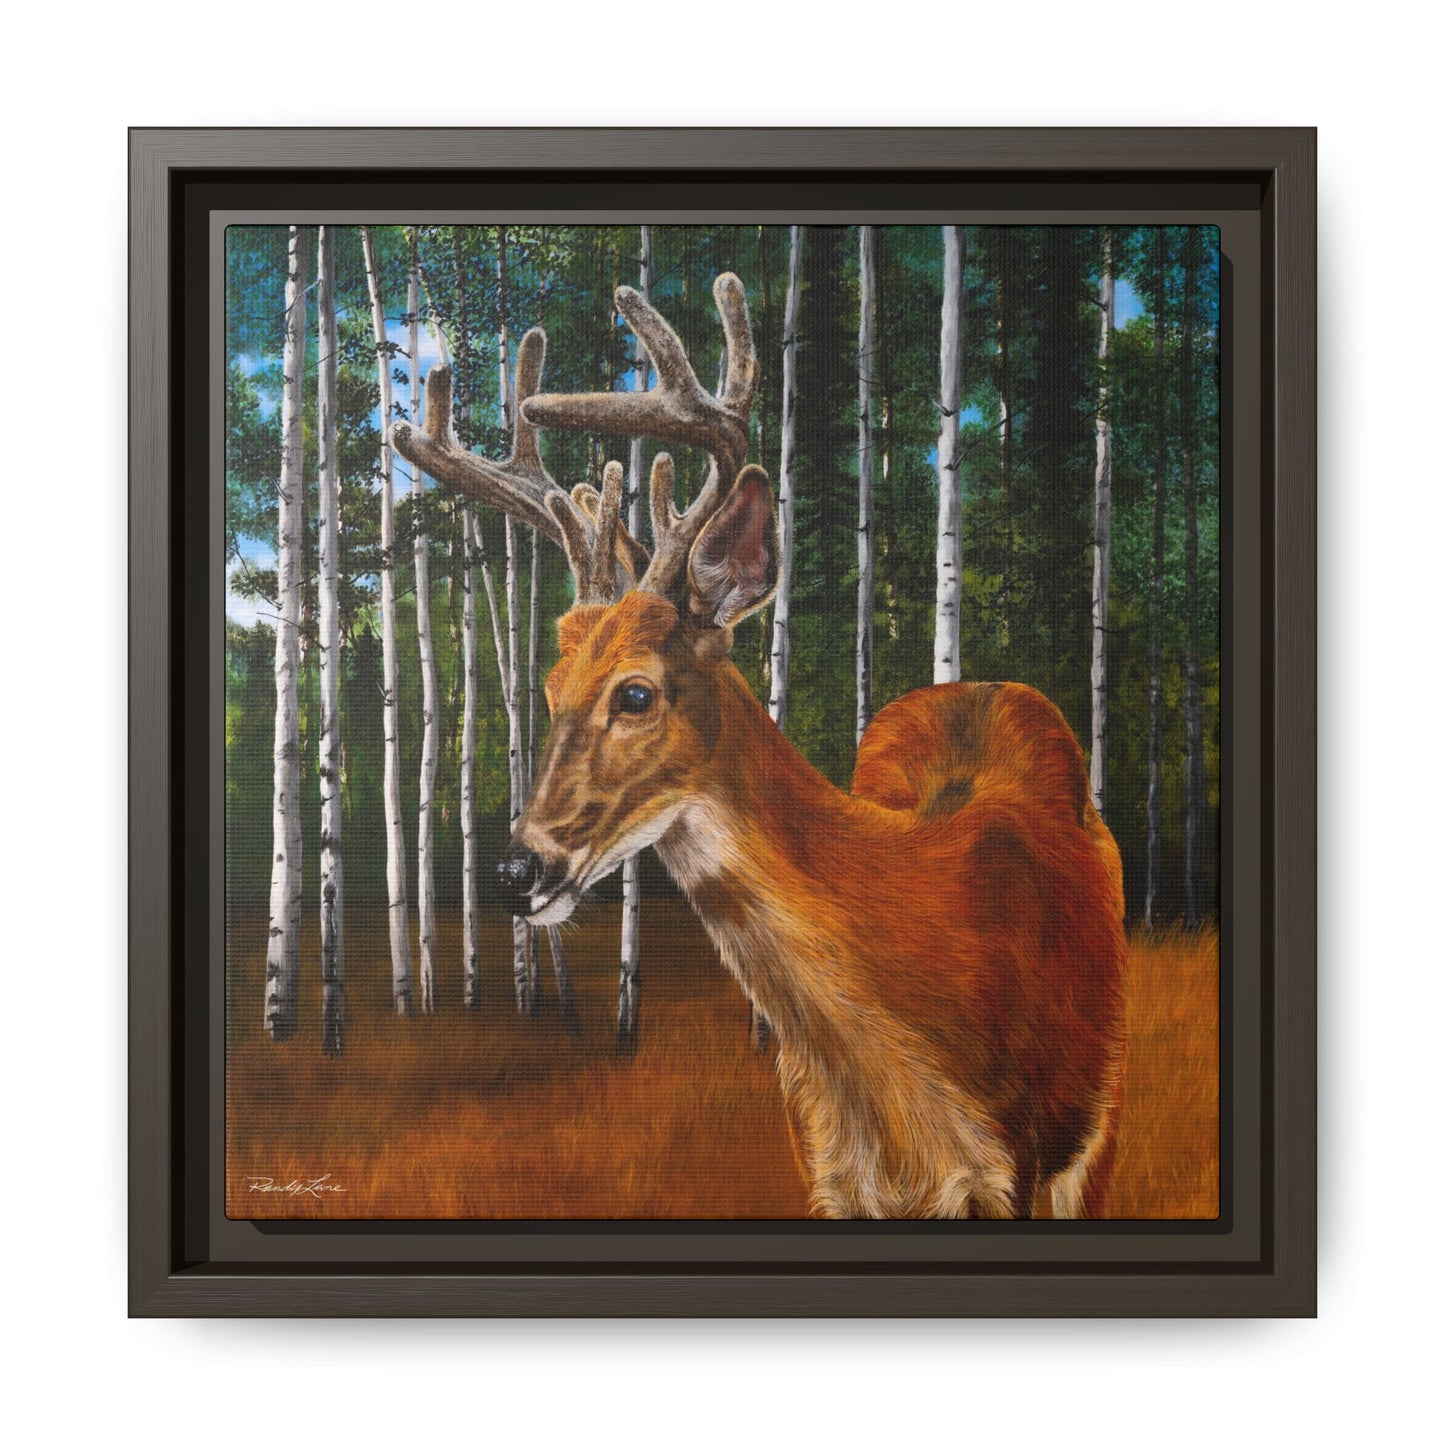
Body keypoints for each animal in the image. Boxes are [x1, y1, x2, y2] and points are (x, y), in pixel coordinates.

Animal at [391, 271, 1127, 1220]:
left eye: (635, 692)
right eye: (550, 690)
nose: (516, 870)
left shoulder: (1017, 1167)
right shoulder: (822, 1164)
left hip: (1097, 1126)